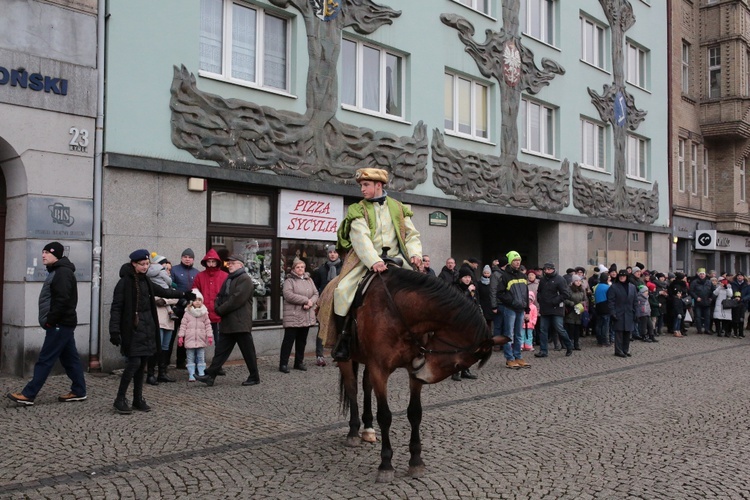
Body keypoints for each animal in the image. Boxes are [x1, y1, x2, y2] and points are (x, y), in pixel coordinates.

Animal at [336, 268, 506, 482]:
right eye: (458, 364)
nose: (423, 373)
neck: (398, 312)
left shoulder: (410, 370)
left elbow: (415, 413)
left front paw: (416, 461)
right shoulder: (379, 369)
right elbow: (385, 416)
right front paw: (386, 464)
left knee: (366, 386)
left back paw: (367, 429)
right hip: (346, 359)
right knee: (352, 388)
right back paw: (353, 432)